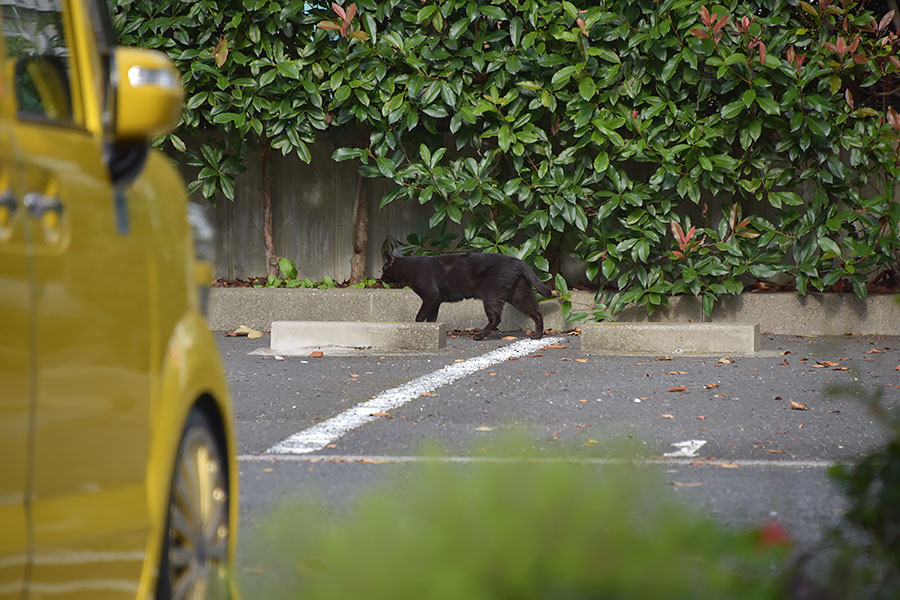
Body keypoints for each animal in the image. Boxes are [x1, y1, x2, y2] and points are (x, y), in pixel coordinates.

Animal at [378, 251, 552, 340]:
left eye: (384, 268)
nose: (380, 277)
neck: (410, 268)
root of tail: (517, 261)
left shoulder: (431, 296)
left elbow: (420, 317)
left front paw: (419, 328)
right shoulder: (435, 301)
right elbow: (432, 318)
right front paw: (432, 329)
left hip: (492, 295)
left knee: (496, 318)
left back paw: (479, 336)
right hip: (518, 294)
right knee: (536, 312)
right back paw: (537, 335)